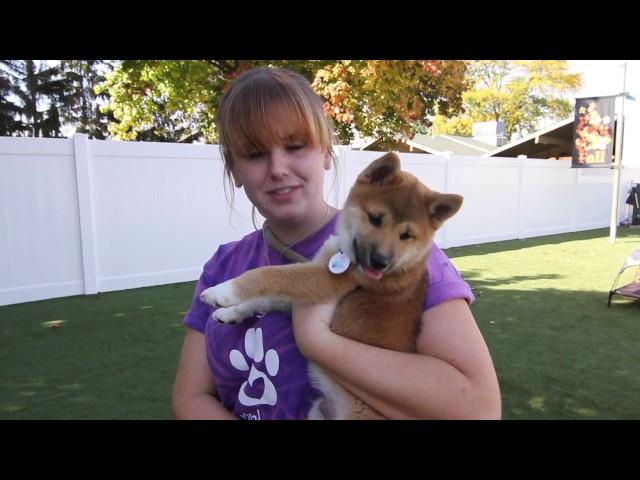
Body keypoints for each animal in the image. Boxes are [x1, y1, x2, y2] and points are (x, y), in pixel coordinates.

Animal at [202, 152, 462, 418]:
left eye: (407, 236)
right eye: (375, 218)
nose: (380, 263)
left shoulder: (322, 282)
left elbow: (269, 275)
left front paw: (222, 291)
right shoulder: (301, 295)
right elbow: (264, 299)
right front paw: (230, 313)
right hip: (315, 410)